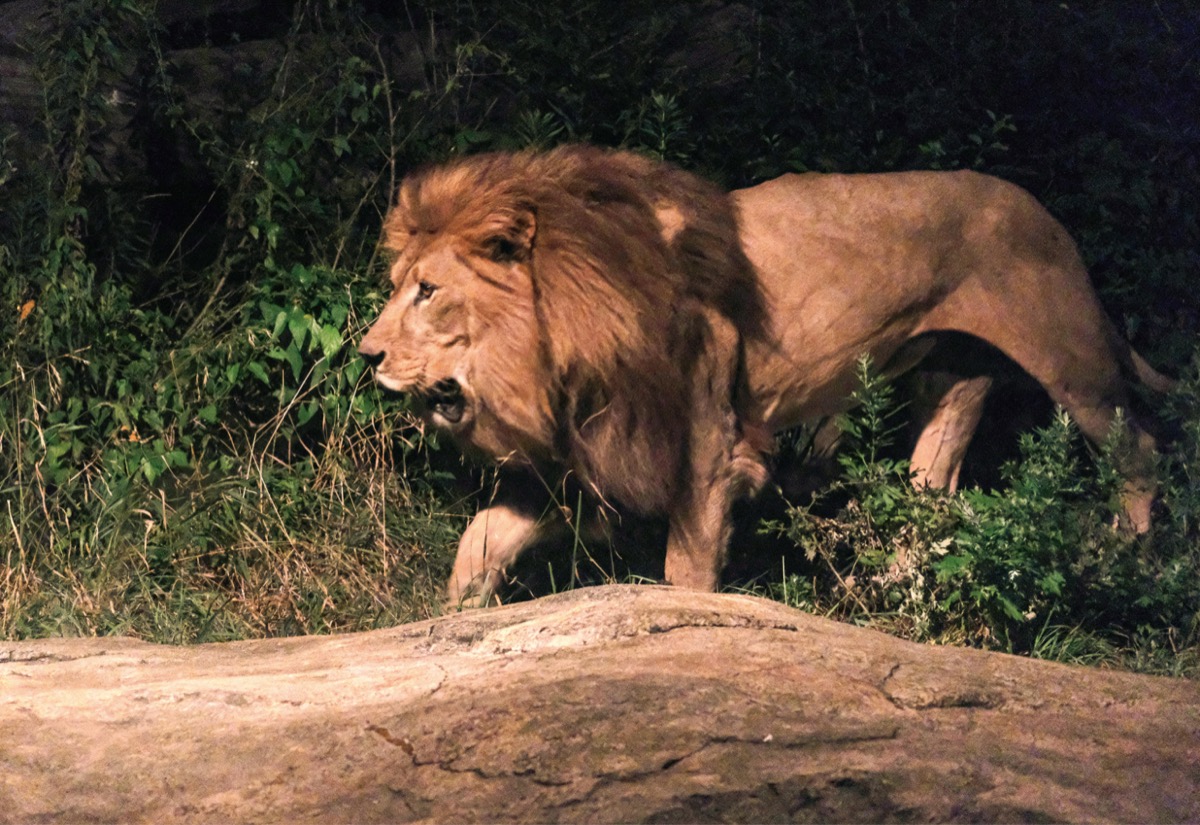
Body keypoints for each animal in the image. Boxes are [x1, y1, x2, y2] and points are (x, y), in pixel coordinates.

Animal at [359, 145, 1173, 607]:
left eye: (427, 291)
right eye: (399, 285)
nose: (366, 355)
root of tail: (1046, 213)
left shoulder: (704, 446)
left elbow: (685, 568)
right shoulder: (581, 454)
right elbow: (481, 539)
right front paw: (452, 623)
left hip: (1071, 357)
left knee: (1140, 448)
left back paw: (1127, 560)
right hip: (952, 374)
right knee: (932, 489)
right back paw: (888, 590)